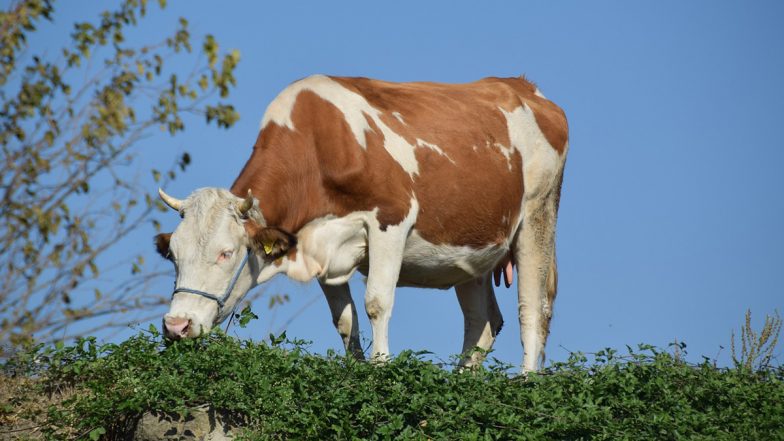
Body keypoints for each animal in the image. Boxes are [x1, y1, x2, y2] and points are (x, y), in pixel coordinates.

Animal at [155, 75, 568, 372]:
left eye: (226, 253)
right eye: (173, 255)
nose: (176, 325)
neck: (319, 147)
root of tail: (522, 86)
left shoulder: (391, 221)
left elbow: (376, 303)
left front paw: (380, 369)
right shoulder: (318, 243)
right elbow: (344, 319)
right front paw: (354, 373)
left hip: (538, 214)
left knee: (532, 310)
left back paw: (527, 381)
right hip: (471, 249)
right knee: (482, 321)